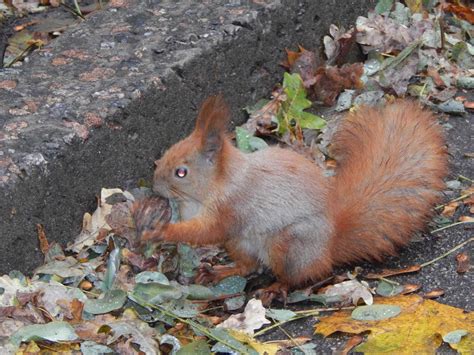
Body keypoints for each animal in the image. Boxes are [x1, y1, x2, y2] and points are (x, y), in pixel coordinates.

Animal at [138, 96, 448, 294]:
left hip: (287, 245)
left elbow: (206, 232)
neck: (205, 192)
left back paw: (277, 287)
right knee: (248, 266)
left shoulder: (231, 206)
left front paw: (161, 231)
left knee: (301, 276)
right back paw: (220, 271)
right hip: (241, 243)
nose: (155, 186)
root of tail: (328, 247)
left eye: (181, 172)